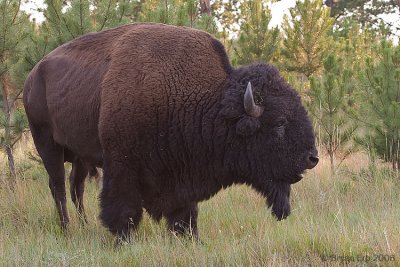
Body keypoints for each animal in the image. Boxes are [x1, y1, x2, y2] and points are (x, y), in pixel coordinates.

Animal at [24, 23, 318, 241]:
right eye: (279, 122)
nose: (312, 158)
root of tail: (33, 75)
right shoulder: (121, 165)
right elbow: (123, 207)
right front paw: (122, 238)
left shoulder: (182, 174)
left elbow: (185, 213)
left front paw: (189, 237)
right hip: (47, 144)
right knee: (59, 187)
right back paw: (66, 229)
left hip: (80, 156)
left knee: (77, 187)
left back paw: (84, 226)